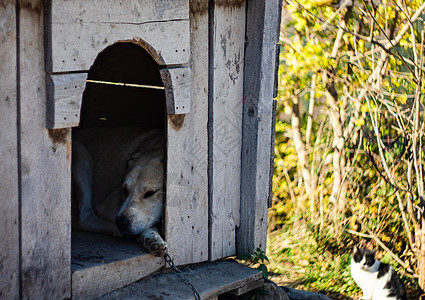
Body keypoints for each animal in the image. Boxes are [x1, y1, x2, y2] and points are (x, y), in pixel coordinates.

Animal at [71, 125, 166, 256]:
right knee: (85, 218)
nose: (121, 222)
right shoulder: (105, 209)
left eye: (151, 193)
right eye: (124, 190)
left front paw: (151, 237)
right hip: (80, 152)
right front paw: (151, 235)